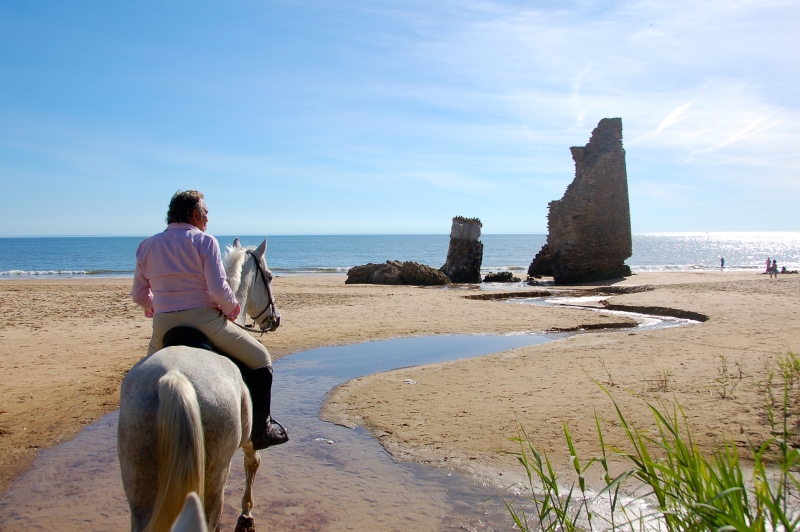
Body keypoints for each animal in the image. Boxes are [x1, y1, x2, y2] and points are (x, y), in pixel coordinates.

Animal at [119, 238, 282, 532]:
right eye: (270, 276)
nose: (275, 319)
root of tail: (172, 378)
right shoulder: (250, 436)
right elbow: (253, 462)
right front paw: (246, 515)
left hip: (138, 477)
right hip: (216, 472)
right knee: (212, 517)